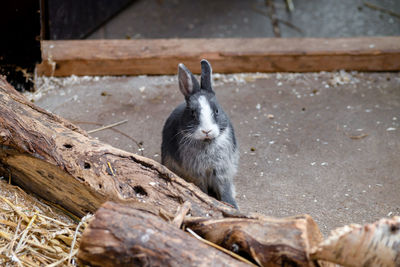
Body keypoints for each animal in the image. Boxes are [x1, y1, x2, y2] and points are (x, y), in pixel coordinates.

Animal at [161, 59, 239, 209]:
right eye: (192, 113)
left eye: (216, 111)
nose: (206, 131)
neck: (206, 142)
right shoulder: (196, 174)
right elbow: (201, 189)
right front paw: (205, 200)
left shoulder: (222, 171)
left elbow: (225, 189)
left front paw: (232, 205)